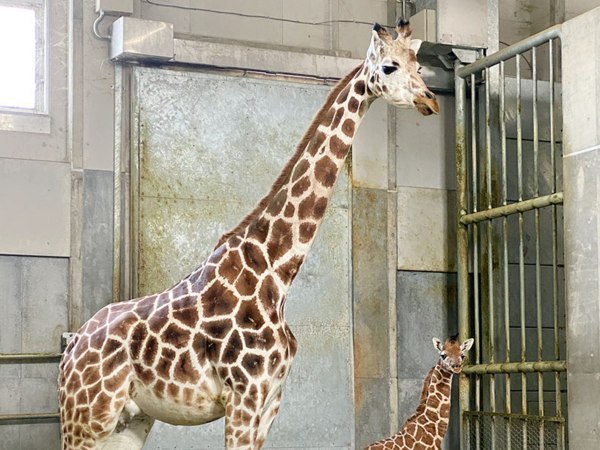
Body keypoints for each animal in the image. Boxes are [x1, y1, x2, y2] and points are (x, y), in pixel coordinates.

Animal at [58, 19, 438, 448]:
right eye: (389, 67)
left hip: (128, 420)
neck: (275, 271)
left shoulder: (270, 400)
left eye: (419, 67)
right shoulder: (243, 396)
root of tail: (71, 348)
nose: (430, 101)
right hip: (86, 417)